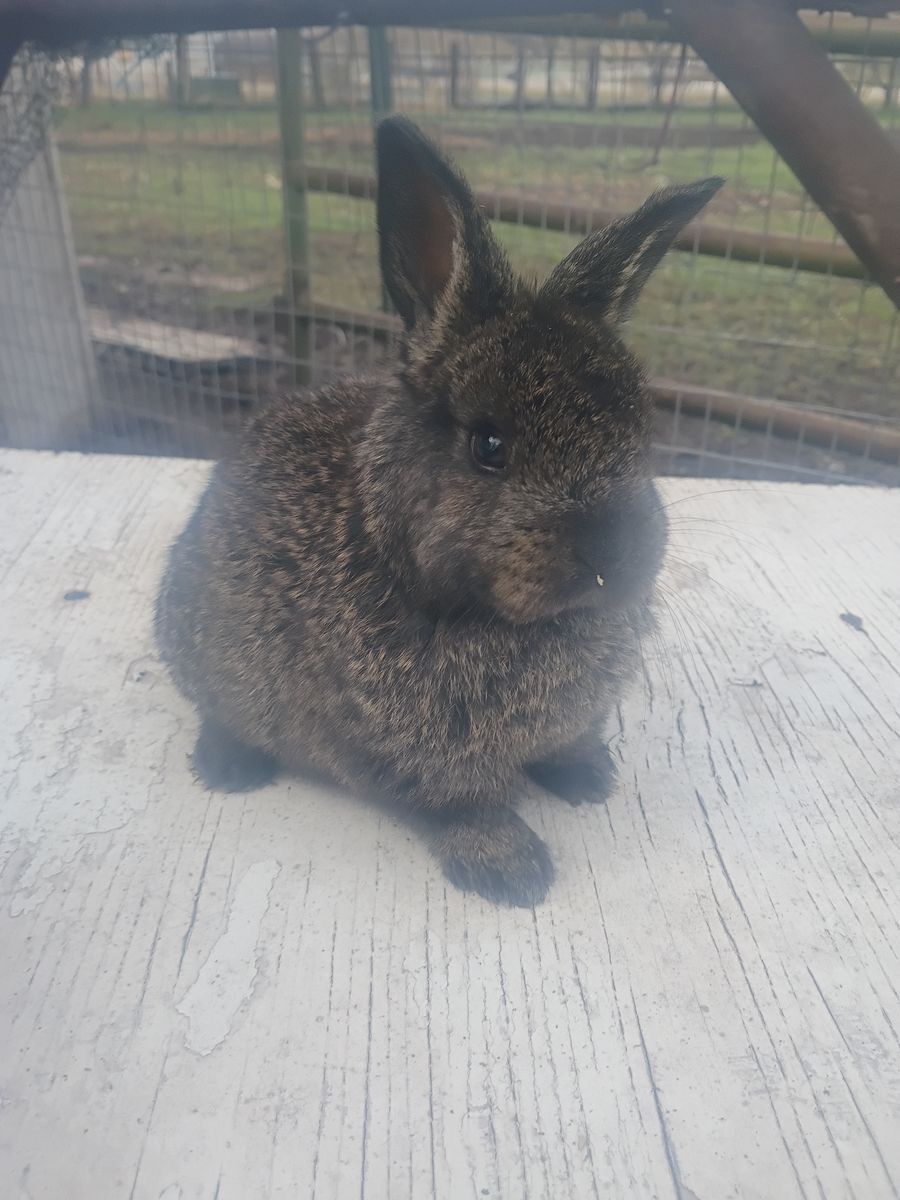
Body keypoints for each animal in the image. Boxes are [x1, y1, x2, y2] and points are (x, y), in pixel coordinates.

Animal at [156, 115, 722, 907]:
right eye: (489, 444)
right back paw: (228, 765)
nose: (616, 552)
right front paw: (512, 869)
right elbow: (457, 805)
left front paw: (586, 778)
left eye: (641, 431)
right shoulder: (403, 752)